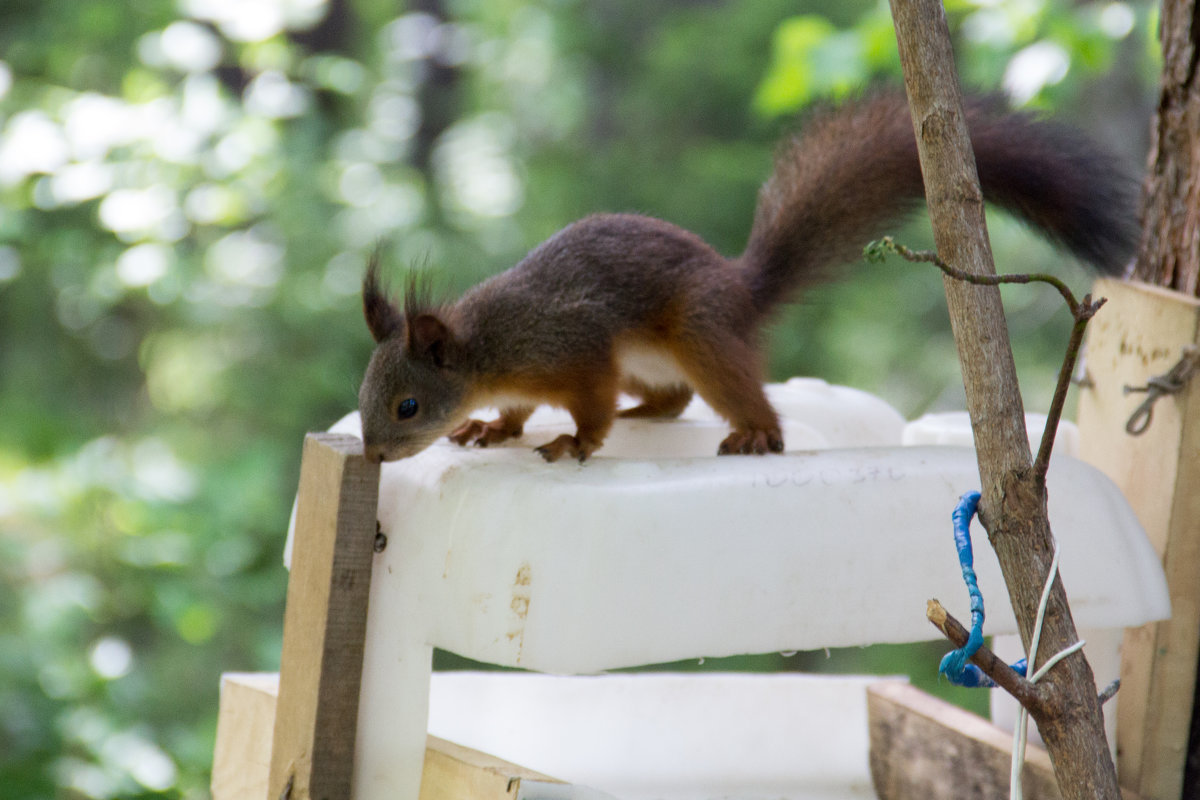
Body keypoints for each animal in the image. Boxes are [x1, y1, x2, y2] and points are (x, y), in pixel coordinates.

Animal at [355, 89, 1132, 462]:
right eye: (366, 397)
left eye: (407, 406)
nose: (374, 454)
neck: (488, 348)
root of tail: (741, 291)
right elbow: (517, 411)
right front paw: (490, 427)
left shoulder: (575, 351)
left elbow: (589, 405)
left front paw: (576, 441)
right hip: (655, 361)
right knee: (670, 401)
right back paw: (649, 414)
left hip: (699, 334)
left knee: (737, 399)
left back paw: (756, 433)